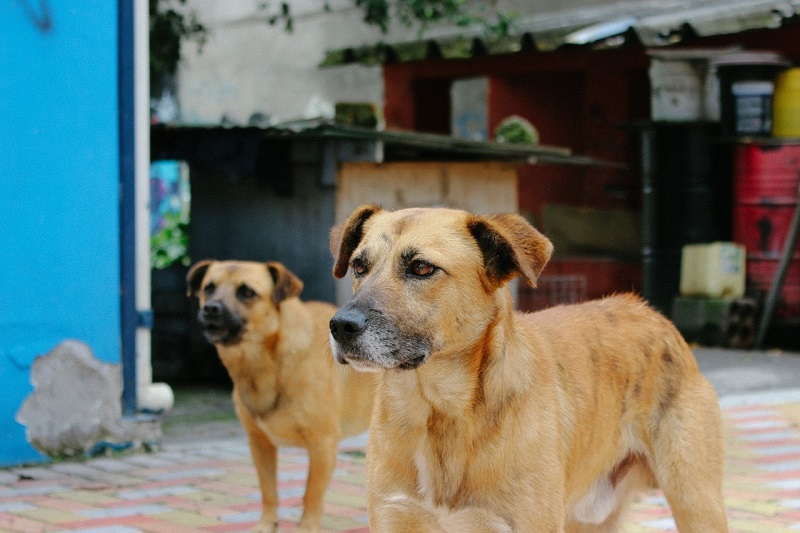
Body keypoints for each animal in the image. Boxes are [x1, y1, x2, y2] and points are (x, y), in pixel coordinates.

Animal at [188, 260, 378, 528]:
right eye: (208, 288)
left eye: (247, 292)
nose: (211, 309)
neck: (263, 364)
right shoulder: (260, 443)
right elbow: (268, 491)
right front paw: (266, 525)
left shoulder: (323, 444)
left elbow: (311, 494)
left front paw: (307, 528)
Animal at [328, 205, 728, 532]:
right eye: (359, 266)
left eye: (422, 268)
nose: (341, 326)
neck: (441, 414)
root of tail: (649, 312)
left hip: (696, 501)